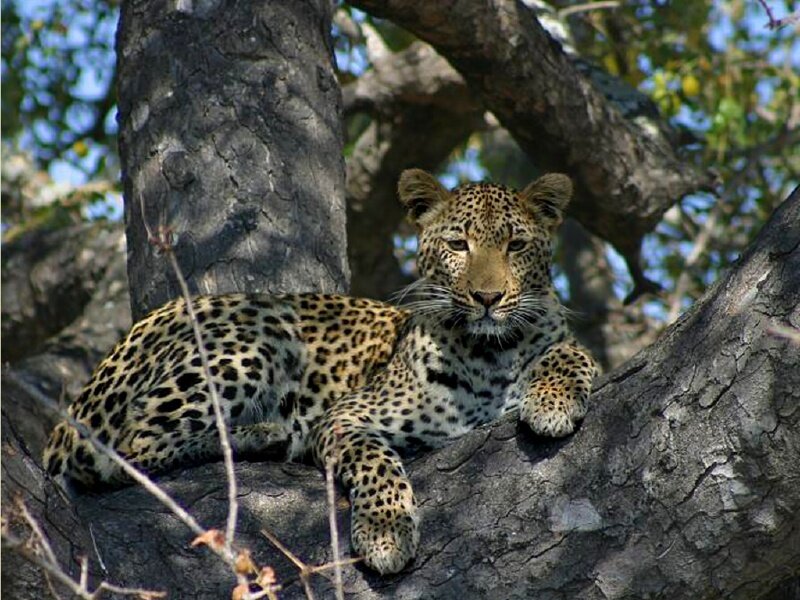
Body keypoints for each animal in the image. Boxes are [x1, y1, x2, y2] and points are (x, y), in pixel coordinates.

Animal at [43, 168, 598, 575]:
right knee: (128, 449)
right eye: (459, 245)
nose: (487, 298)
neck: (491, 354)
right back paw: (265, 435)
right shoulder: (345, 417)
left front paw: (551, 401)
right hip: (257, 337)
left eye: (516, 246)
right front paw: (385, 532)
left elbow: (572, 352)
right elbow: (376, 461)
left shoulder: (556, 342)